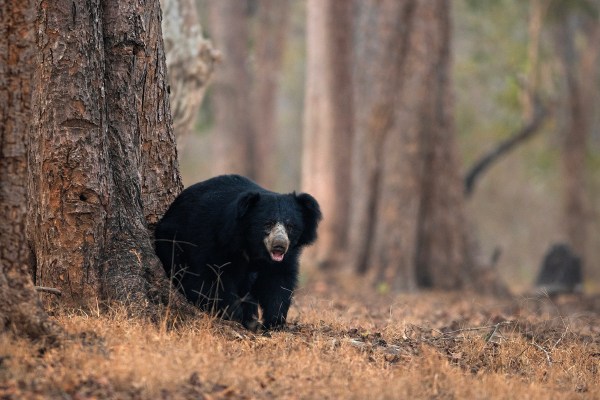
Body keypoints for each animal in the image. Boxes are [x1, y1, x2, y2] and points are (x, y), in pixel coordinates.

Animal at [156, 175, 324, 332]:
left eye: (290, 226)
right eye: (267, 224)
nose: (279, 245)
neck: (251, 246)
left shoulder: (283, 259)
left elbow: (278, 281)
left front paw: (273, 322)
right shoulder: (211, 239)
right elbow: (210, 278)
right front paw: (237, 316)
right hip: (172, 242)